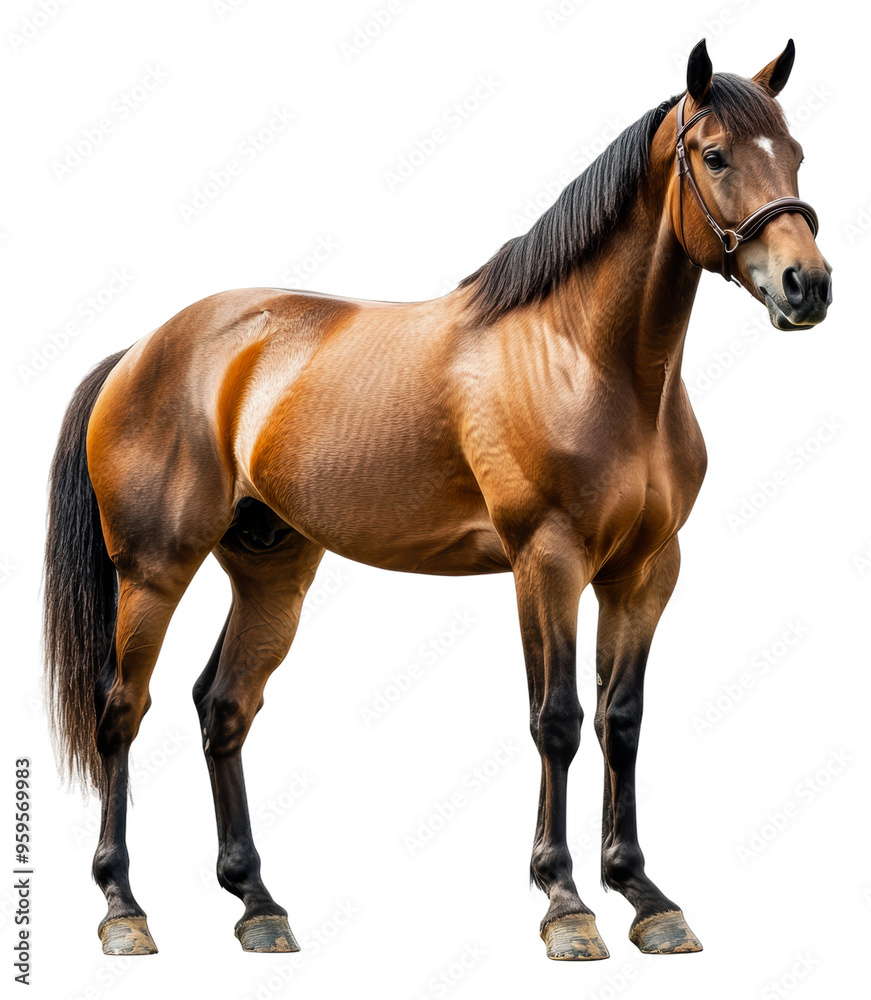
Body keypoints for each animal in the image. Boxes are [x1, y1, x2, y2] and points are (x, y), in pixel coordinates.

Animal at [44, 39, 831, 961]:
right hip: (154, 571)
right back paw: (122, 909)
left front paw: (645, 897)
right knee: (121, 712)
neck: (584, 359)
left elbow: (622, 720)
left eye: (795, 153)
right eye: (713, 156)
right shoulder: (546, 562)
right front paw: (565, 904)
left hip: (272, 572)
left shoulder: (644, 571)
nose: (806, 286)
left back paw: (258, 905)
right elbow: (557, 720)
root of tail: (140, 350)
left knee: (224, 707)